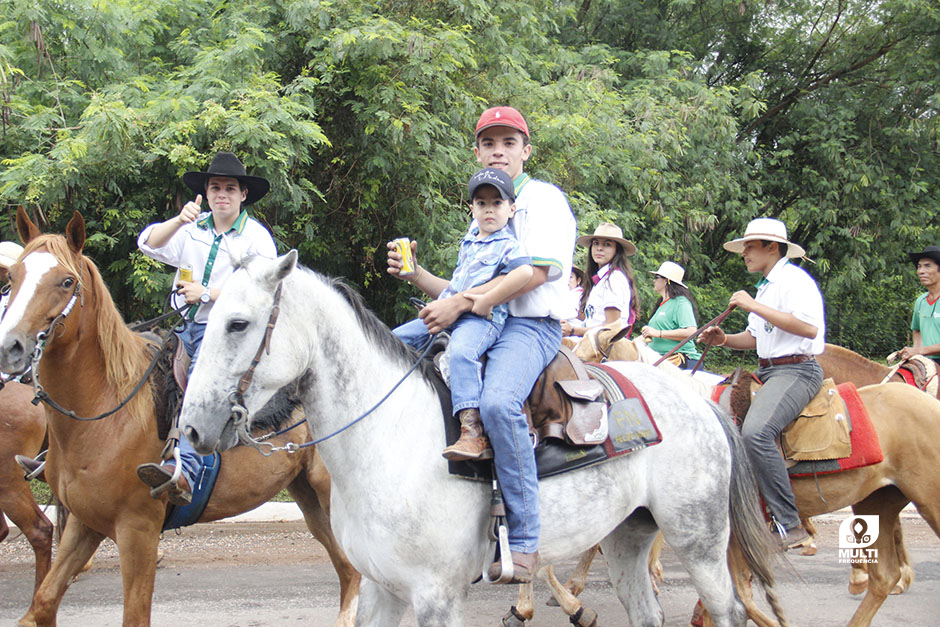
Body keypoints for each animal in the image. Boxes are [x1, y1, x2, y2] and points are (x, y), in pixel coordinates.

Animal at [0, 211, 358, 627]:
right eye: (12, 278)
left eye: (66, 281)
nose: (11, 347)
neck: (105, 410)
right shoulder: (83, 522)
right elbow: (43, 602)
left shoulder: (137, 529)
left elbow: (134, 615)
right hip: (309, 496)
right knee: (347, 569)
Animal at [176, 254, 784, 627]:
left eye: (237, 323)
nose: (192, 428)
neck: (390, 442)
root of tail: (699, 400)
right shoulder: (379, 589)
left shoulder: (438, 598)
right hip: (627, 537)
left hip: (698, 538)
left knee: (727, 610)